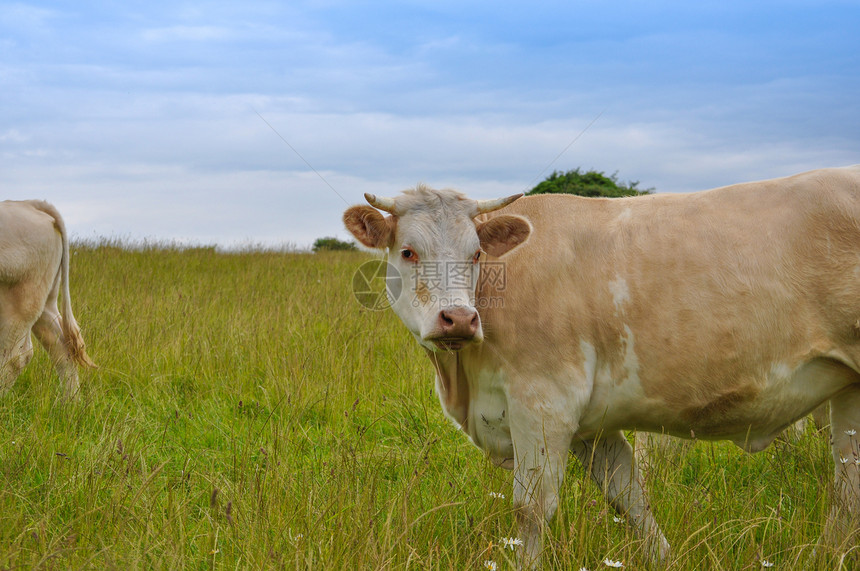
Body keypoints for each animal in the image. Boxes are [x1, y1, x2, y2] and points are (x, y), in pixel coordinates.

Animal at [0, 199, 94, 400]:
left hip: (21, 299)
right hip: (45, 299)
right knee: (62, 347)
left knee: (14, 356)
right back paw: (70, 403)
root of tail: (27, 204)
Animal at [346, 165, 860, 568]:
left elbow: (531, 509)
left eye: (476, 254)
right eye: (409, 252)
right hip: (850, 392)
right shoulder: (592, 427)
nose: (458, 318)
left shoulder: (544, 402)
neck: (465, 381)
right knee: (848, 492)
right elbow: (630, 498)